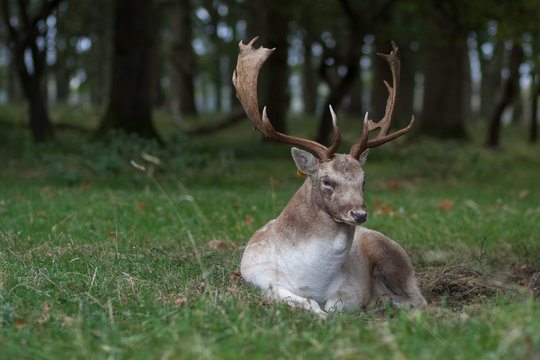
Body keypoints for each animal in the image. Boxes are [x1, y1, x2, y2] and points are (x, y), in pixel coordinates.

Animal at [232, 38, 426, 316]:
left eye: (364, 180)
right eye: (326, 181)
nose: (359, 214)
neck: (311, 279)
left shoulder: (352, 286)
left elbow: (335, 305)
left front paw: (348, 309)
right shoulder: (262, 281)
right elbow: (304, 302)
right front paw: (319, 313)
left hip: (392, 255)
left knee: (419, 298)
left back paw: (385, 301)